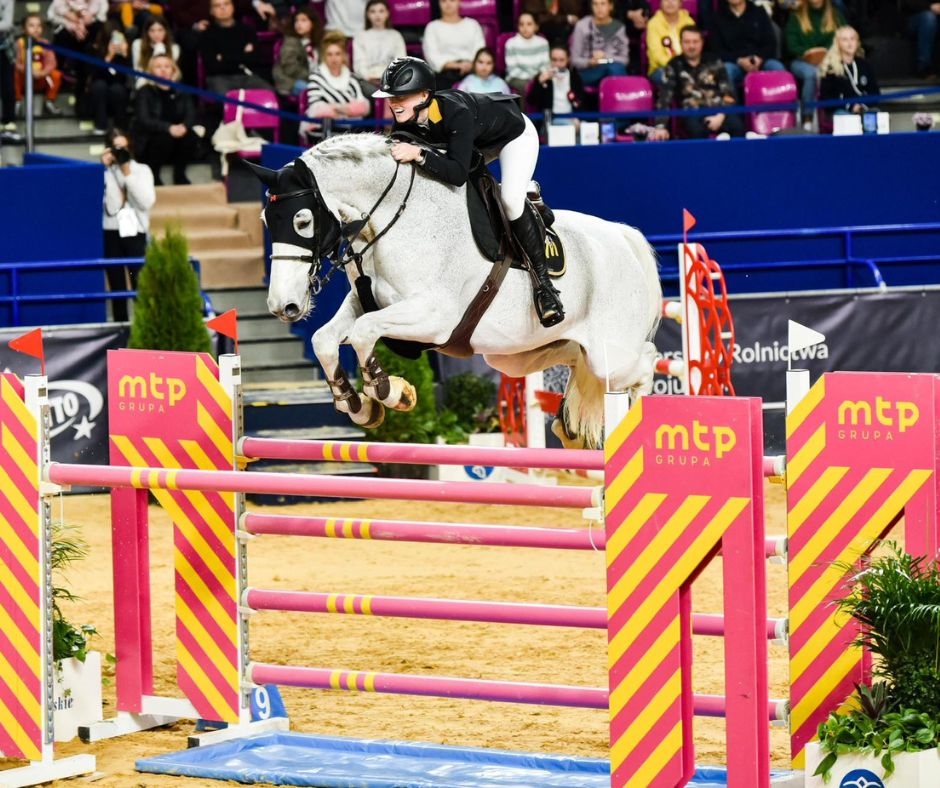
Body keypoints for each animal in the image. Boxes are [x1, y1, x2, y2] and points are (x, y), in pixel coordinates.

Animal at [248, 134, 662, 449]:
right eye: (265, 220)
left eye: (302, 221)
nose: (282, 306)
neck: (394, 219)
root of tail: (626, 237)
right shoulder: (365, 302)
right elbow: (324, 339)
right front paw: (357, 405)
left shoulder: (433, 318)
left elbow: (365, 332)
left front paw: (390, 392)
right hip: (520, 354)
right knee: (578, 361)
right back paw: (567, 426)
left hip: (612, 355)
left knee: (646, 363)